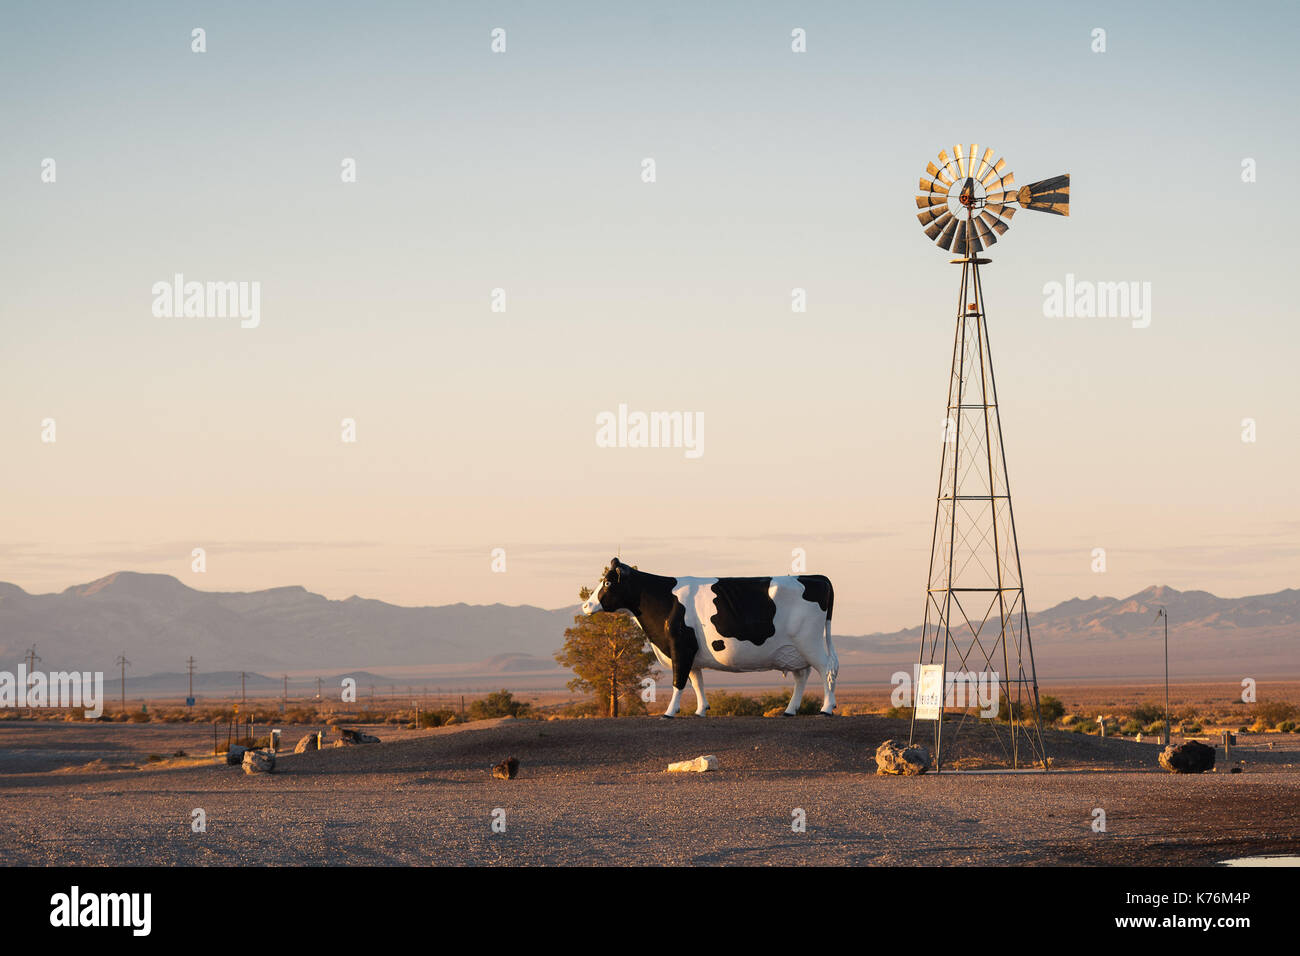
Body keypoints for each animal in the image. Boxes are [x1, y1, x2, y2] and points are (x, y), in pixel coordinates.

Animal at [582, 561, 842, 717]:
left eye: (607, 582)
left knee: (826, 668)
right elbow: (697, 681)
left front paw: (669, 712)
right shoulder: (691, 653)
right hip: (793, 649)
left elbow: (679, 681)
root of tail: (817, 577)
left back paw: (826, 708)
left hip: (809, 642)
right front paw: (700, 710)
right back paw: (789, 710)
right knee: (802, 675)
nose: (585, 605)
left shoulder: (680, 646)